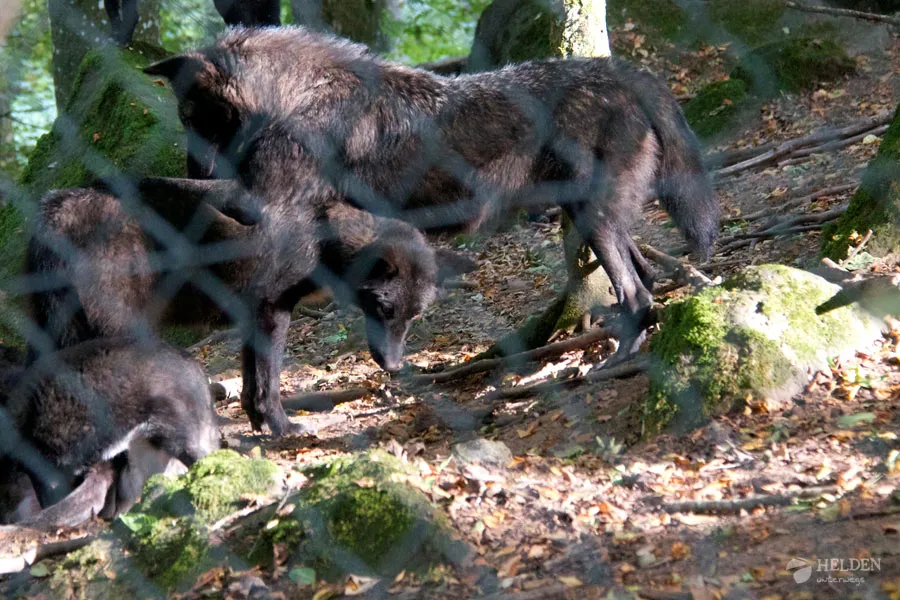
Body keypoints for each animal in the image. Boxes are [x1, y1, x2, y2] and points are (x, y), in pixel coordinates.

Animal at [144, 26, 719, 354]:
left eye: (198, 119)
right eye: (183, 119)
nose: (197, 164)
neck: (293, 97)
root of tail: (625, 71)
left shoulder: (267, 208)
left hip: (591, 217)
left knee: (637, 292)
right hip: (595, 218)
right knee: (645, 282)